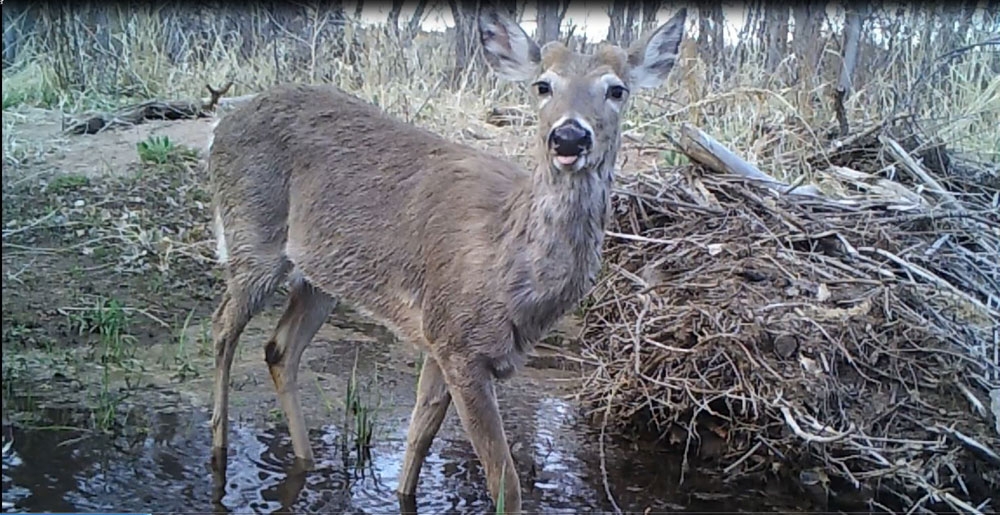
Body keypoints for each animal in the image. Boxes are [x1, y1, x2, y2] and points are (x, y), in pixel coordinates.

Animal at [206, 8, 687, 513]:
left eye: (617, 89)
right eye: (543, 85)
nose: (570, 136)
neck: (508, 263)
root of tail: (221, 124)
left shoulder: (442, 339)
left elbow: (416, 447)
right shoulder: (458, 345)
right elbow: (505, 484)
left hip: (319, 275)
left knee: (279, 349)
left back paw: (304, 460)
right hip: (253, 235)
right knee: (223, 328)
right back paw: (219, 451)